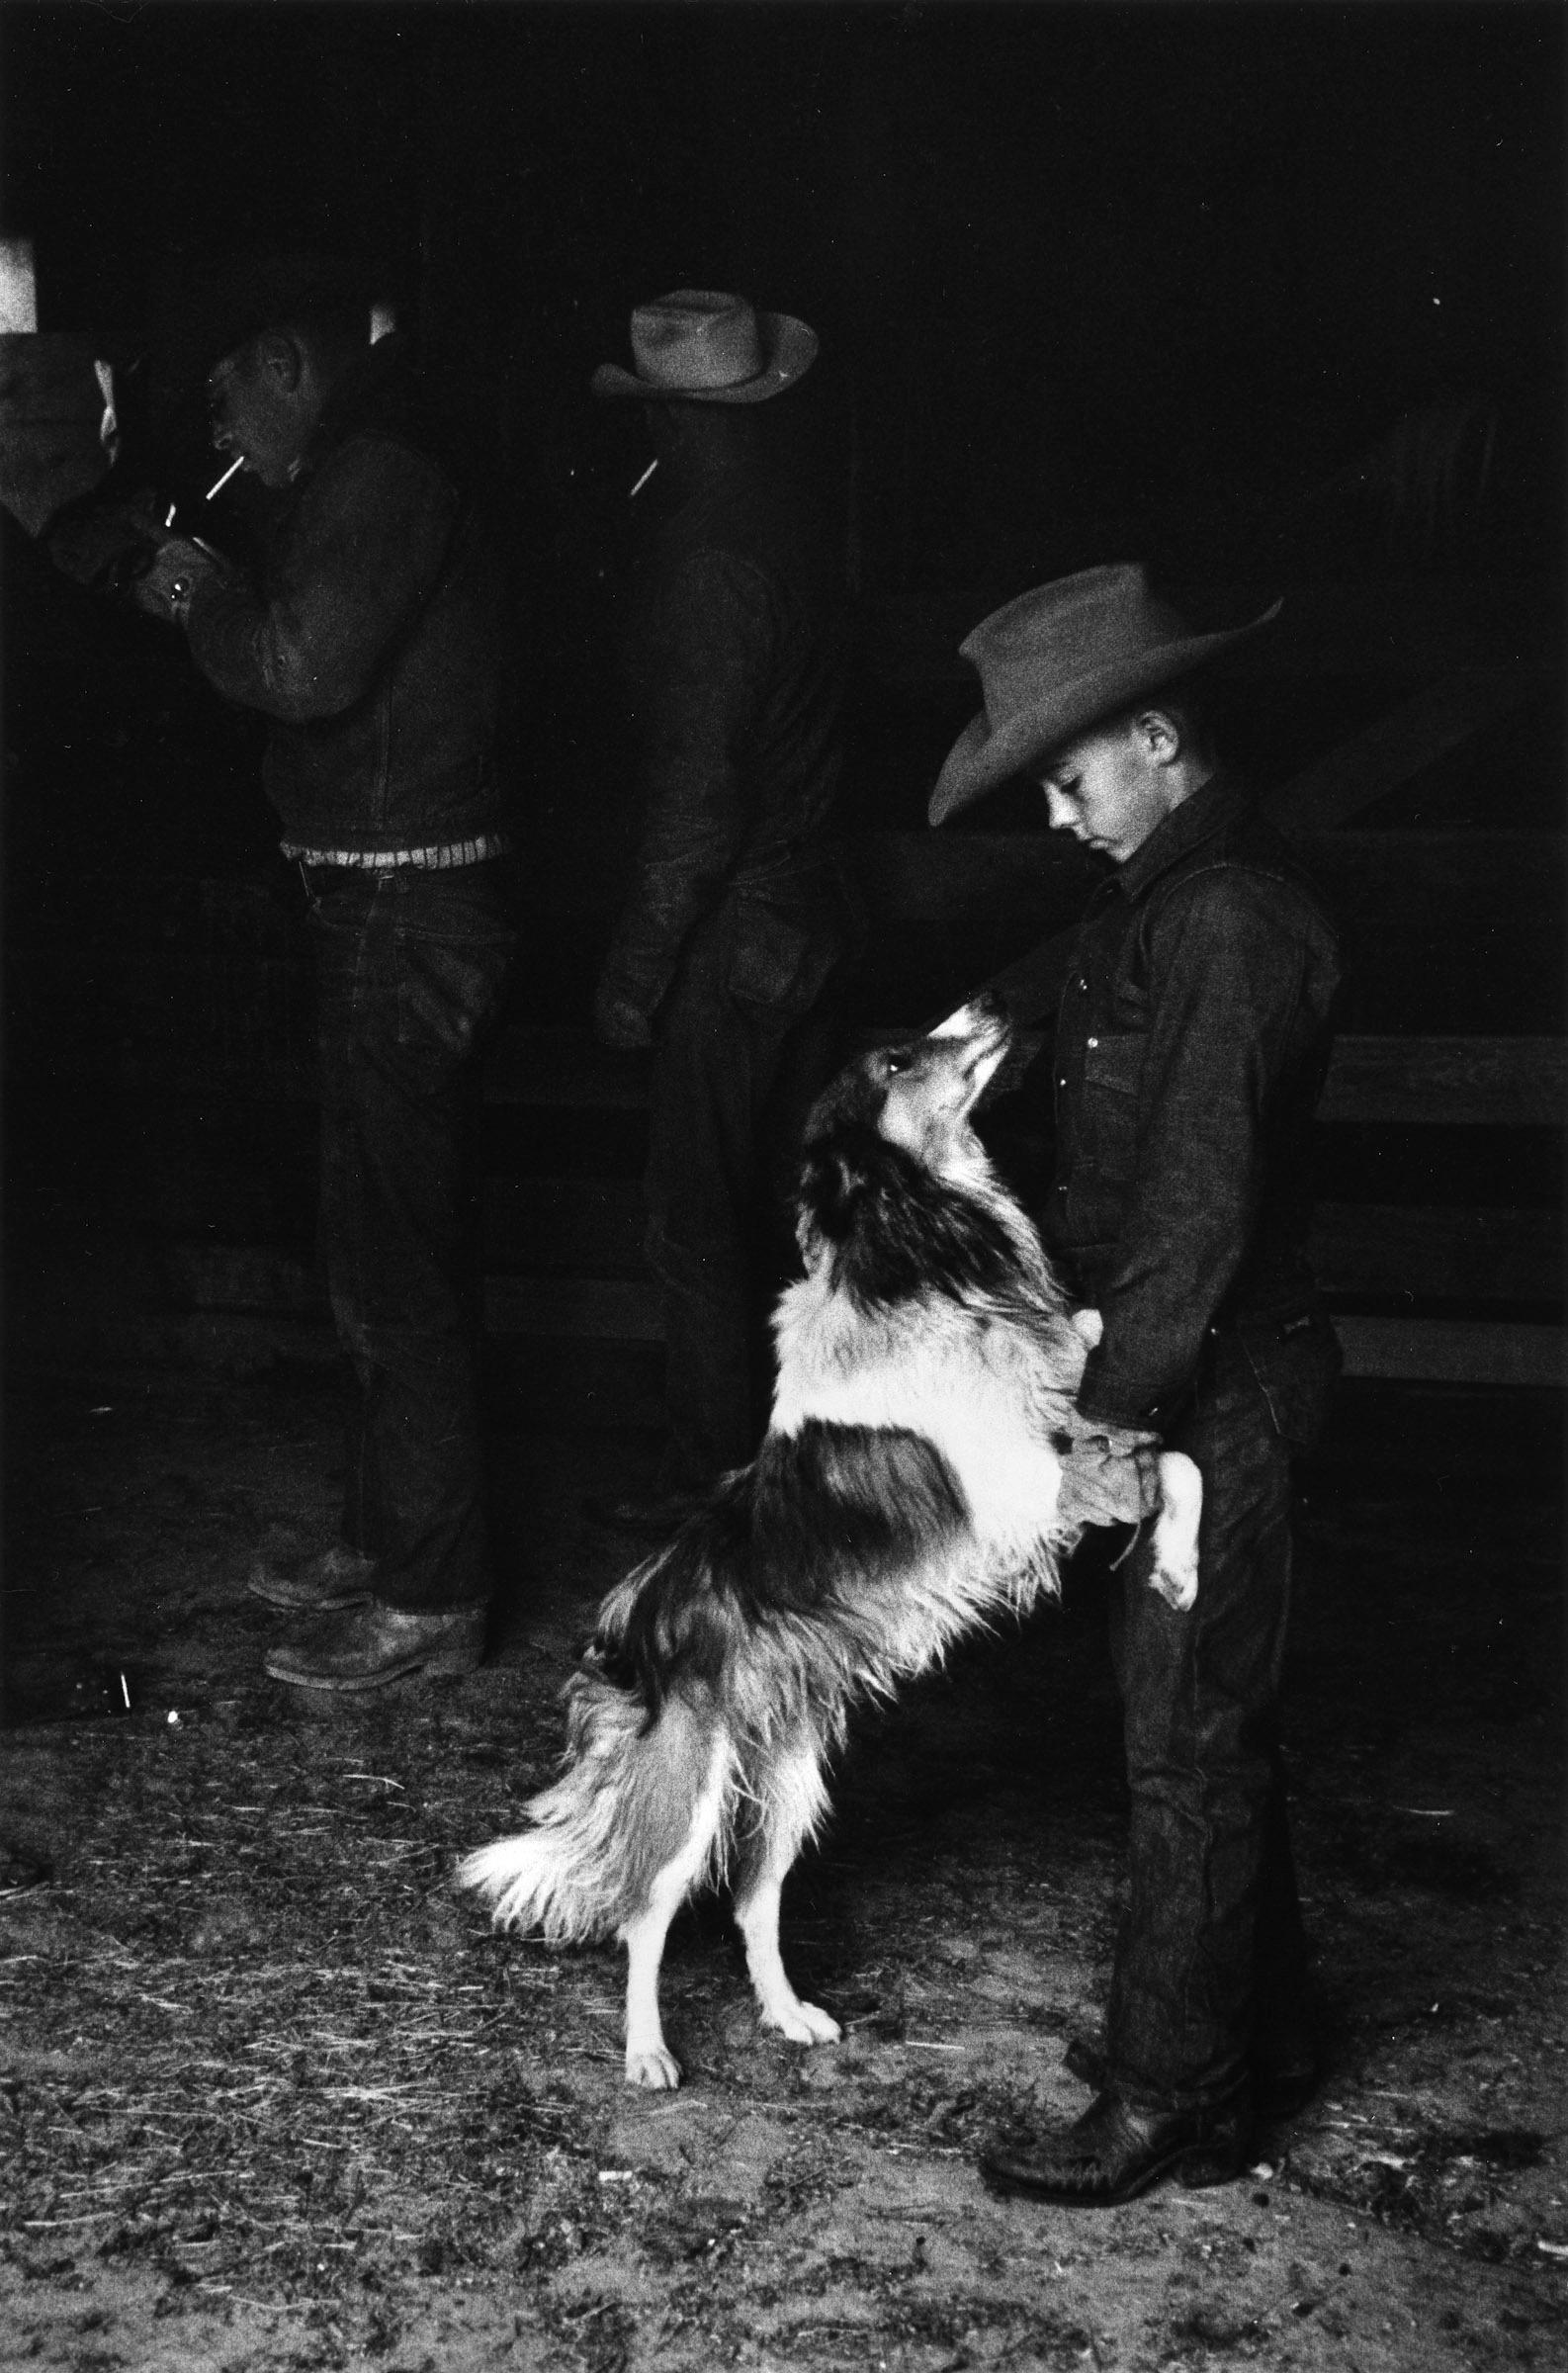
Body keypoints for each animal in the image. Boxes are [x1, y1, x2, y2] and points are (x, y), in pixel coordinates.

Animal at [458, 992, 1190, 2088]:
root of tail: (632, 1627)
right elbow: (1161, 1460)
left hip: (789, 1788)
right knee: (646, 1916)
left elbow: (1137, 1413)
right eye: (893, 1060)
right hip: (690, 1793)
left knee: (752, 1907)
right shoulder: (1018, 1488)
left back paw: (787, 2015)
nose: (993, 1001)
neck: (915, 1263)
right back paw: (647, 2053)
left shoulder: (1064, 1428)